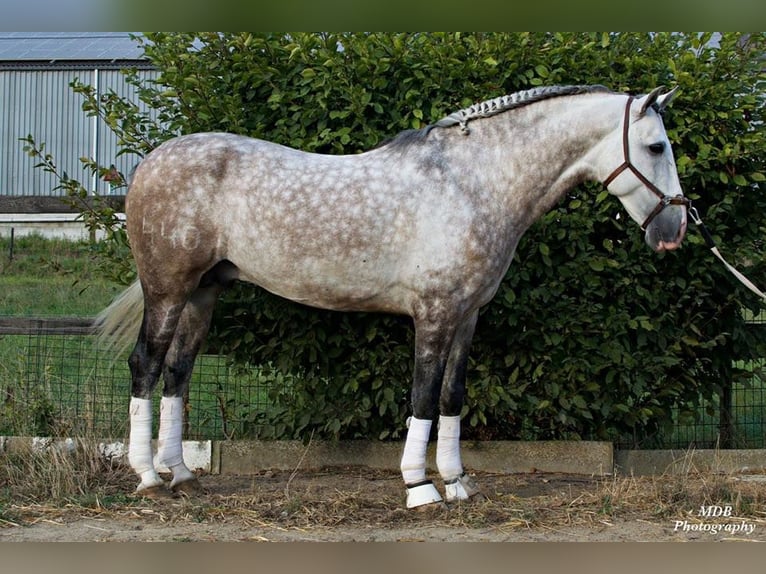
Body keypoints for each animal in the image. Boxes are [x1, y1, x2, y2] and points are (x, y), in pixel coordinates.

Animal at [97, 84, 688, 508]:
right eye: (656, 147)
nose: (676, 230)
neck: (473, 183)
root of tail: (151, 163)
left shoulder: (468, 315)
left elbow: (451, 397)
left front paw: (457, 483)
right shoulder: (434, 313)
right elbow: (422, 397)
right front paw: (419, 488)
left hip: (203, 294)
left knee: (178, 373)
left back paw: (181, 474)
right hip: (168, 290)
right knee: (146, 366)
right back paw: (148, 476)